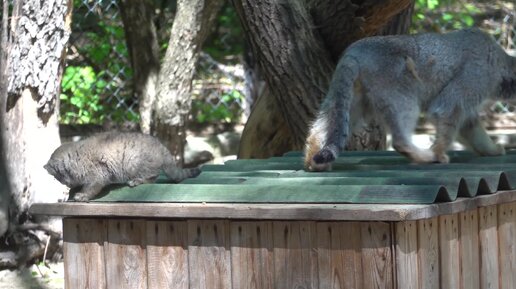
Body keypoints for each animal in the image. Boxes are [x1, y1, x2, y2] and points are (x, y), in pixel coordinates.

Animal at [44, 130, 202, 200]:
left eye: (58, 178)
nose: (66, 184)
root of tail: (161, 146)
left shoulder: (97, 176)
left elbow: (92, 188)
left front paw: (82, 195)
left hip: (133, 161)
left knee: (151, 177)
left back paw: (137, 180)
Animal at [304, 28, 512, 170]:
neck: (501, 61)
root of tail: (354, 50)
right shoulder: (453, 102)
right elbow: (447, 133)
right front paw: (438, 153)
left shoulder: (466, 112)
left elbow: (478, 134)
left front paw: (492, 150)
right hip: (403, 99)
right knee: (399, 141)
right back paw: (425, 157)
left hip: (349, 102)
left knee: (319, 130)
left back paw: (314, 163)